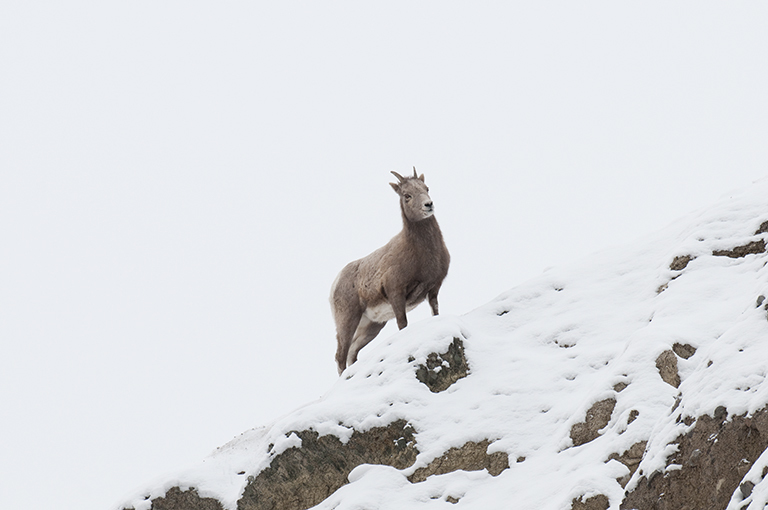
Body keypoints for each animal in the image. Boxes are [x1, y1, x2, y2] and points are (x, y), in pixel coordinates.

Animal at [330, 169, 450, 372]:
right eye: (407, 195)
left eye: (426, 188)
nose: (428, 205)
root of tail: (335, 283)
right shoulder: (396, 293)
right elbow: (403, 324)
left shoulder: (433, 289)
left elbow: (435, 313)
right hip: (347, 320)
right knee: (341, 355)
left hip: (372, 326)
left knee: (352, 351)